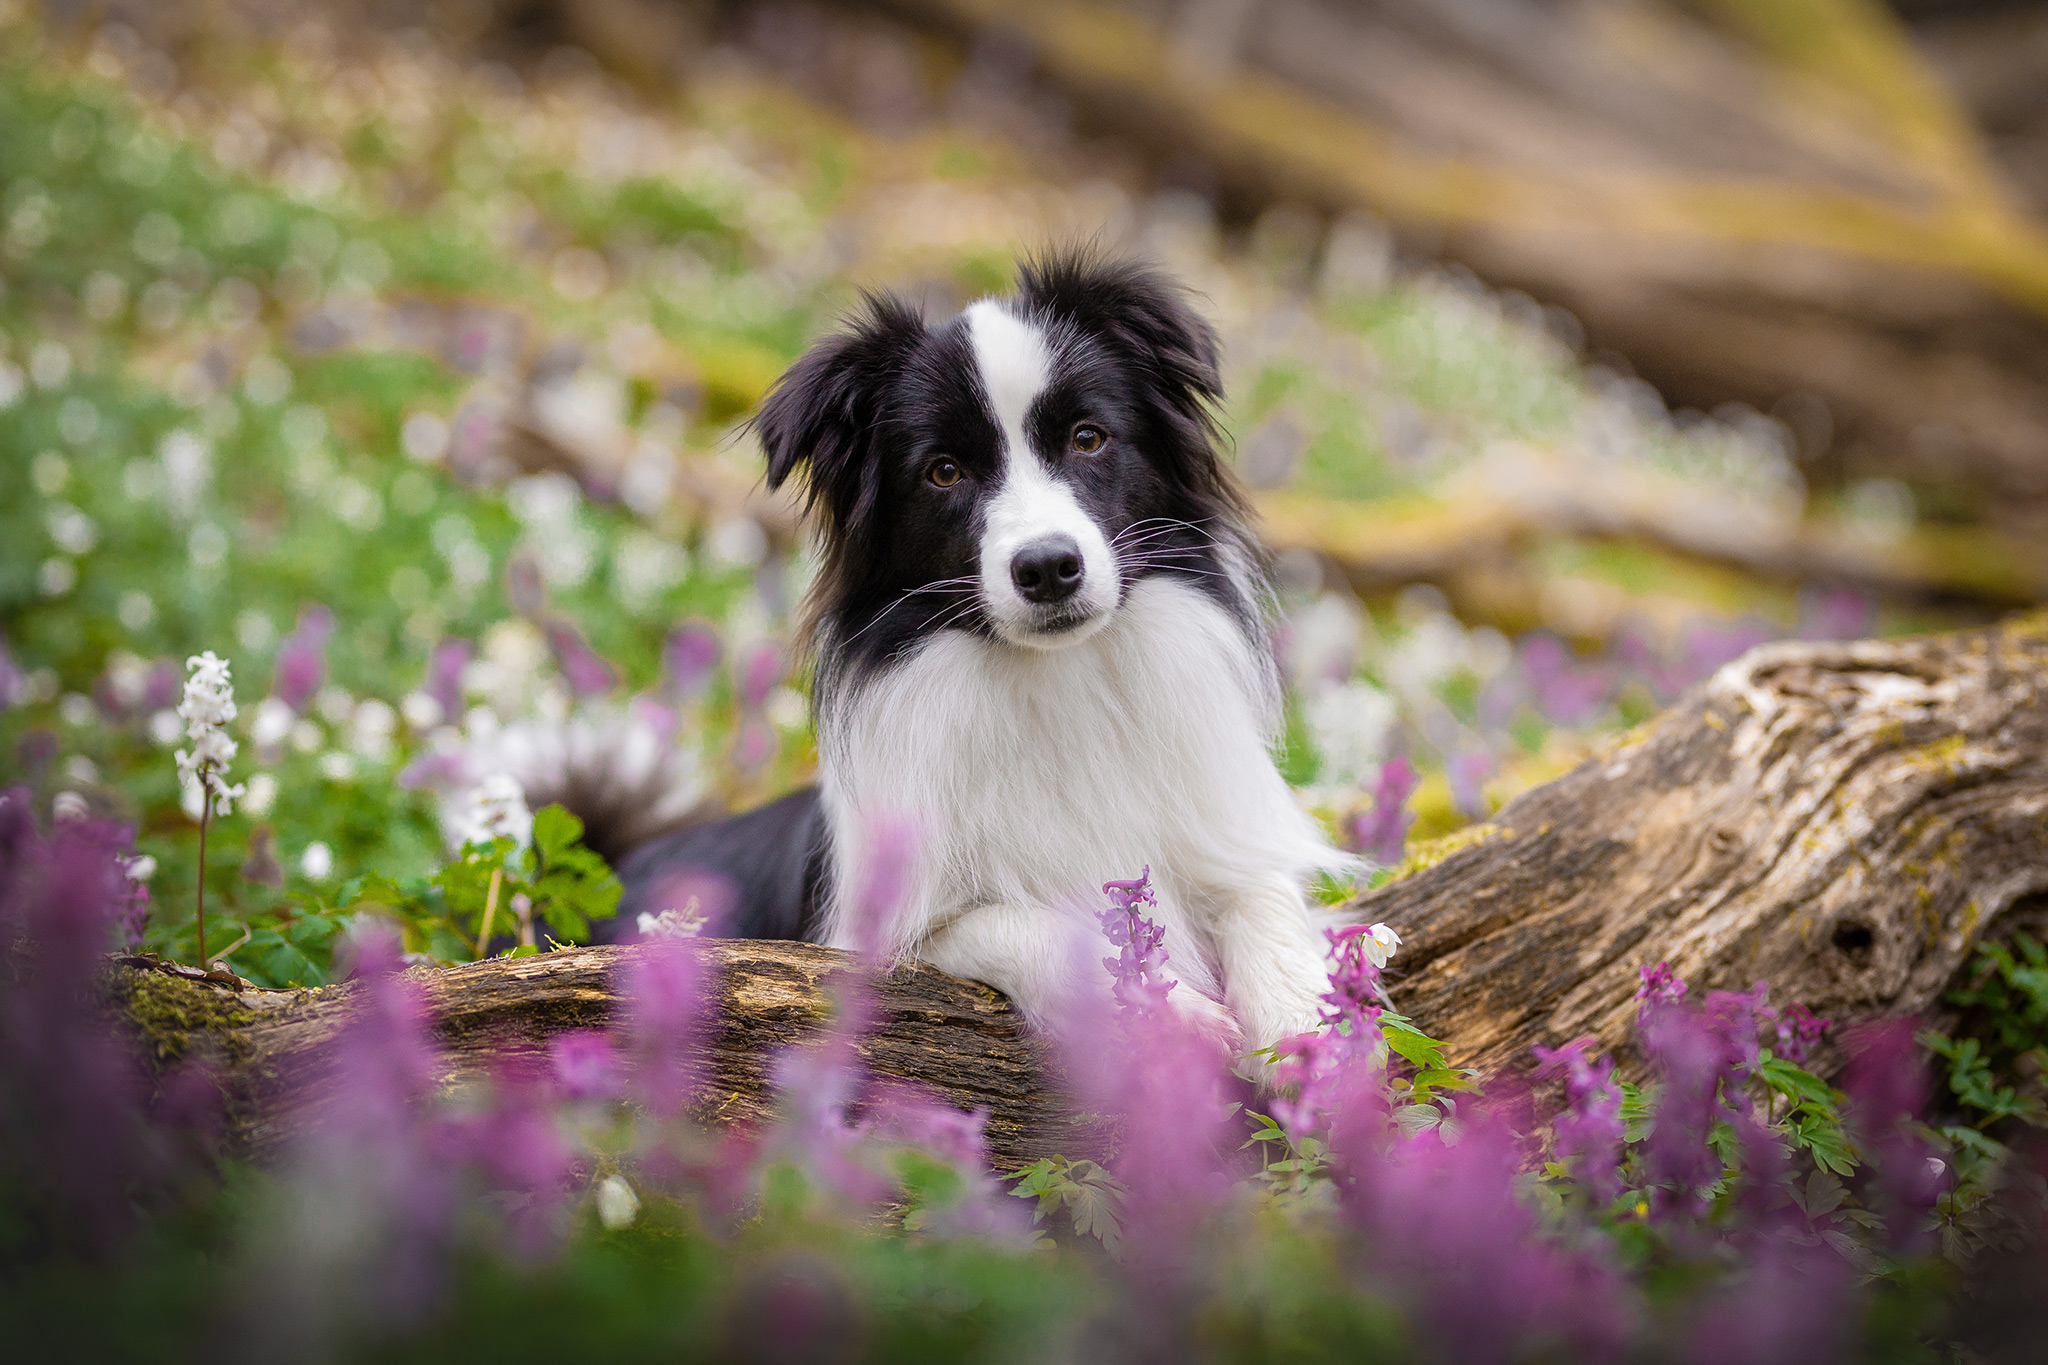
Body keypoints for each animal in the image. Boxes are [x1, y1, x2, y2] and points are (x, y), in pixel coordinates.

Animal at [610, 250, 1343, 1055]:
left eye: (1088, 438)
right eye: (944, 472)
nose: (1048, 567)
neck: (1057, 681)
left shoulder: (1227, 829)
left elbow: (1262, 891)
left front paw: (1303, 1027)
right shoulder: (883, 931)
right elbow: (1032, 924)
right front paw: (1162, 1013)